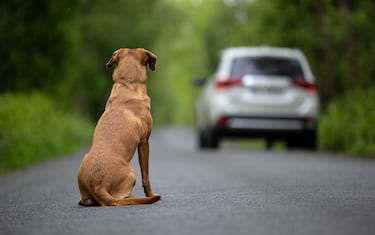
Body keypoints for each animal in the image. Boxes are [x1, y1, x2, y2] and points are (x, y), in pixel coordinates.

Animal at [78, 47, 162, 206]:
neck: (127, 83)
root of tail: (98, 186)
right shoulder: (144, 142)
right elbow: (146, 176)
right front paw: (150, 194)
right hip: (132, 172)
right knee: (121, 198)